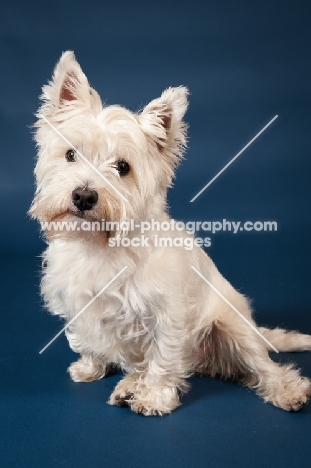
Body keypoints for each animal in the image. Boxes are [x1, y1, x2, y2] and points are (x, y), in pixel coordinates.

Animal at [30, 52, 311, 416]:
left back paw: (287, 391)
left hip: (234, 328)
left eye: (123, 167)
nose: (84, 196)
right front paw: (91, 367)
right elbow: (87, 339)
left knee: (263, 366)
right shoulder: (77, 303)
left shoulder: (168, 314)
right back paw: (128, 385)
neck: (101, 245)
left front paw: (154, 396)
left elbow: (162, 359)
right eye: (70, 154)